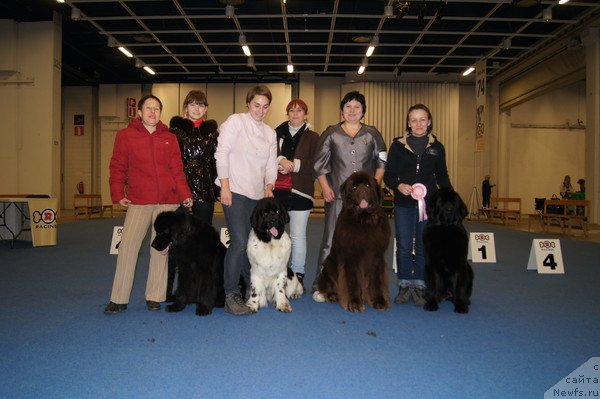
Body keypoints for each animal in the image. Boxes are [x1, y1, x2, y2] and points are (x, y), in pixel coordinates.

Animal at [314, 172, 394, 312]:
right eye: (354, 187)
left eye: (368, 185)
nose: (362, 191)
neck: (364, 221)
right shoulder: (351, 258)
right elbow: (352, 281)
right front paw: (354, 303)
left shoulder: (377, 257)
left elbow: (377, 281)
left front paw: (379, 301)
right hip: (328, 265)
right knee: (328, 284)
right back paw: (332, 295)